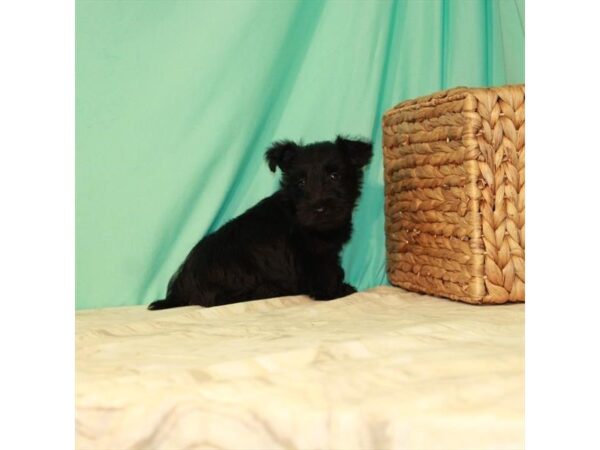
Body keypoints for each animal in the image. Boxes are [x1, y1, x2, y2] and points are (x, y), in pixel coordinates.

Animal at [148, 134, 370, 310]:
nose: (319, 208)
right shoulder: (312, 255)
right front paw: (338, 290)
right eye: (300, 182)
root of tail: (179, 290)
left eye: (334, 176)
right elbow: (324, 274)